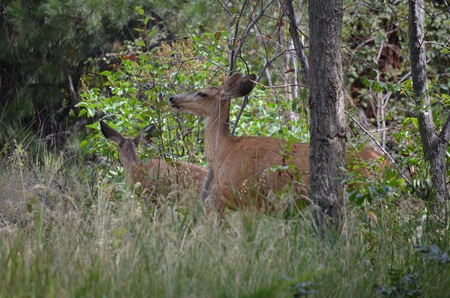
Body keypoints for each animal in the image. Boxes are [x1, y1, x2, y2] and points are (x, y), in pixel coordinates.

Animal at [169, 73, 386, 211]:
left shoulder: (250, 197)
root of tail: (385, 161)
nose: (172, 98)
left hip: (360, 193)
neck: (223, 151)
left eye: (201, 93)